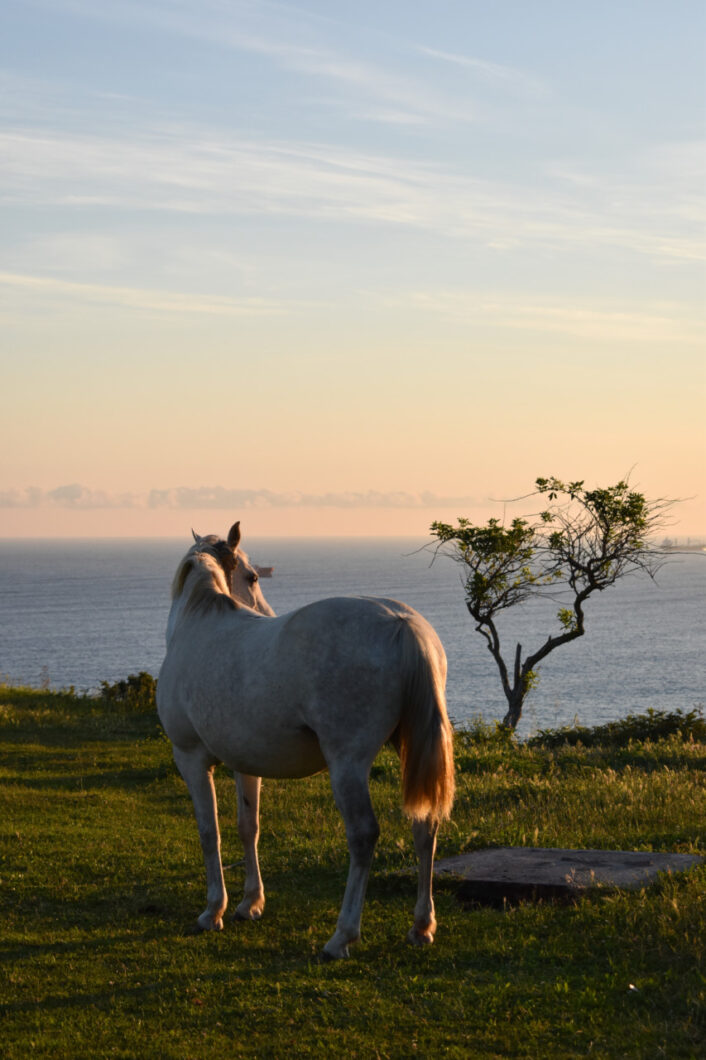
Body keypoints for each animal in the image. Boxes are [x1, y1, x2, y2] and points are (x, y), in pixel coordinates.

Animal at [156, 522, 455, 960]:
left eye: (253, 576)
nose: (267, 615)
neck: (198, 621)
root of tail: (403, 623)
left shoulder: (190, 758)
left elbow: (209, 832)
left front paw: (213, 911)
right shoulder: (245, 765)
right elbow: (248, 826)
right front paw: (251, 903)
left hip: (347, 764)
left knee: (363, 834)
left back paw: (342, 936)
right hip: (411, 750)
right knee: (424, 826)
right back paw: (421, 926)